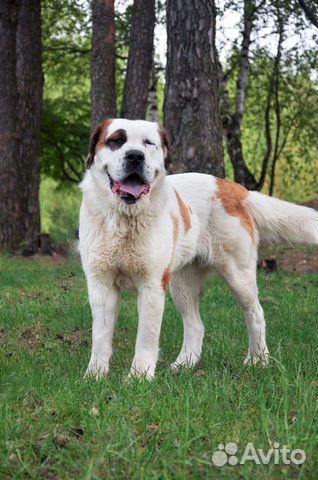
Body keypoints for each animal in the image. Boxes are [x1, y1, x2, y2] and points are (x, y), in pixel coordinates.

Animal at [79, 119, 318, 378]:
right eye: (116, 140)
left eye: (148, 143)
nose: (135, 156)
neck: (124, 220)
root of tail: (233, 188)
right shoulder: (100, 284)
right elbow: (100, 336)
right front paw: (95, 376)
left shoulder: (152, 285)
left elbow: (146, 336)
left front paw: (138, 377)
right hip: (181, 285)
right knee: (196, 325)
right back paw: (184, 365)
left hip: (238, 276)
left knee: (255, 313)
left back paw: (257, 360)